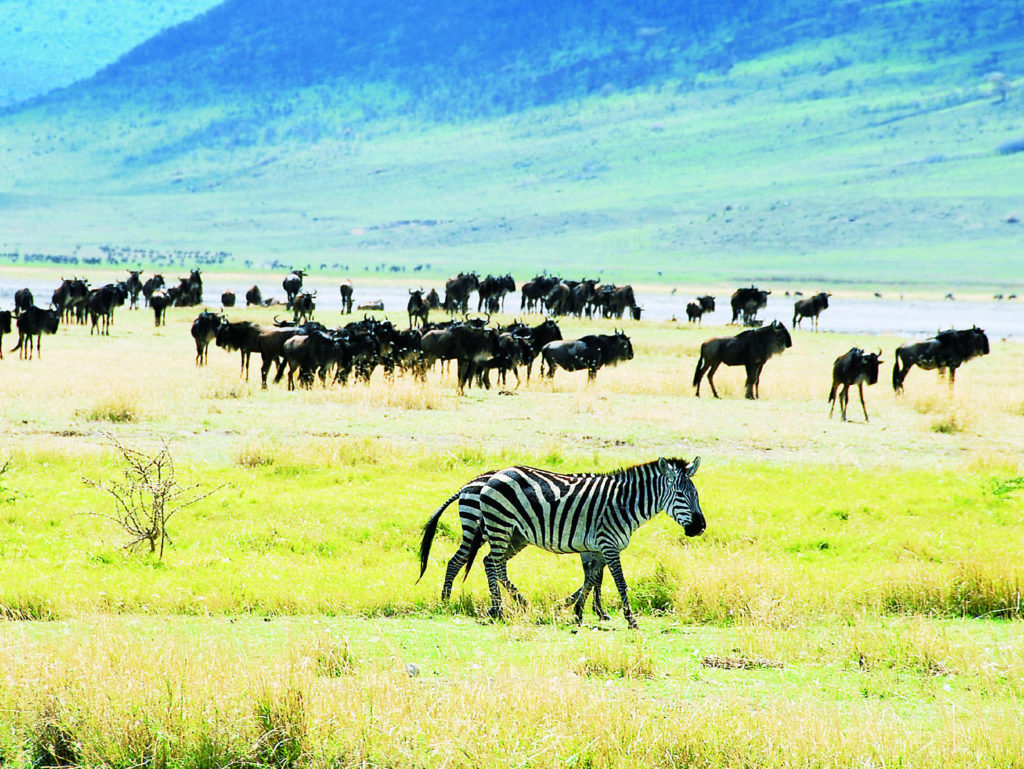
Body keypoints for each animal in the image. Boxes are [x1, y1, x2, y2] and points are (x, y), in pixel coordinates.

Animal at [413, 473, 606, 622]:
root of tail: (468, 485)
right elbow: (594, 575)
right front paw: (589, 608)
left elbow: (594, 574)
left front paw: (591, 608)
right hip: (484, 530)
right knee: (462, 561)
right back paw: (447, 600)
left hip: (508, 535)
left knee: (482, 563)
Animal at [475, 456, 700, 626]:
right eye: (679, 494)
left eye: (696, 494)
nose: (700, 527)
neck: (625, 504)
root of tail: (497, 474)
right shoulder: (608, 545)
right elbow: (619, 581)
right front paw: (630, 619)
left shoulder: (600, 547)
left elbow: (592, 578)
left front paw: (577, 611)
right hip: (501, 525)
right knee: (494, 564)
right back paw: (505, 608)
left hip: (516, 535)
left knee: (490, 562)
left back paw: (508, 606)